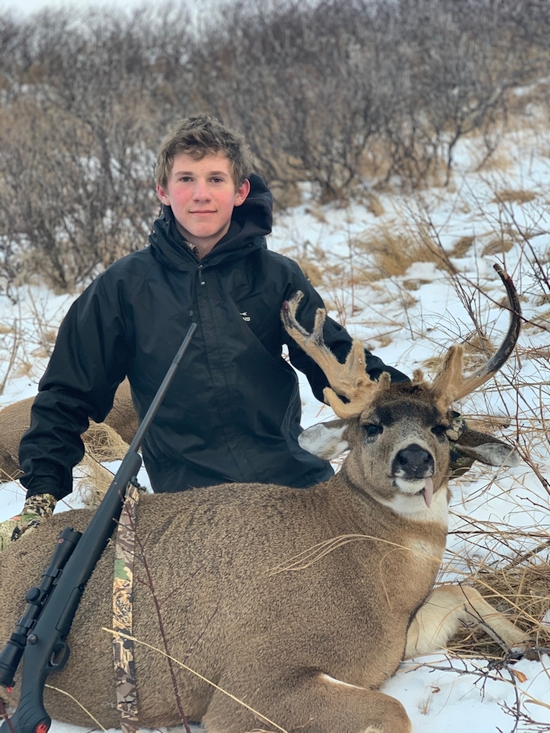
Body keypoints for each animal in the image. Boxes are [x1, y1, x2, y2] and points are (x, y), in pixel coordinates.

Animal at [0, 267, 526, 733]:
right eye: (371, 426)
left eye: (441, 427)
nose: (414, 458)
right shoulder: (251, 682)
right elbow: (394, 711)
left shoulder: (394, 644)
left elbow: (460, 589)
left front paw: (525, 644)